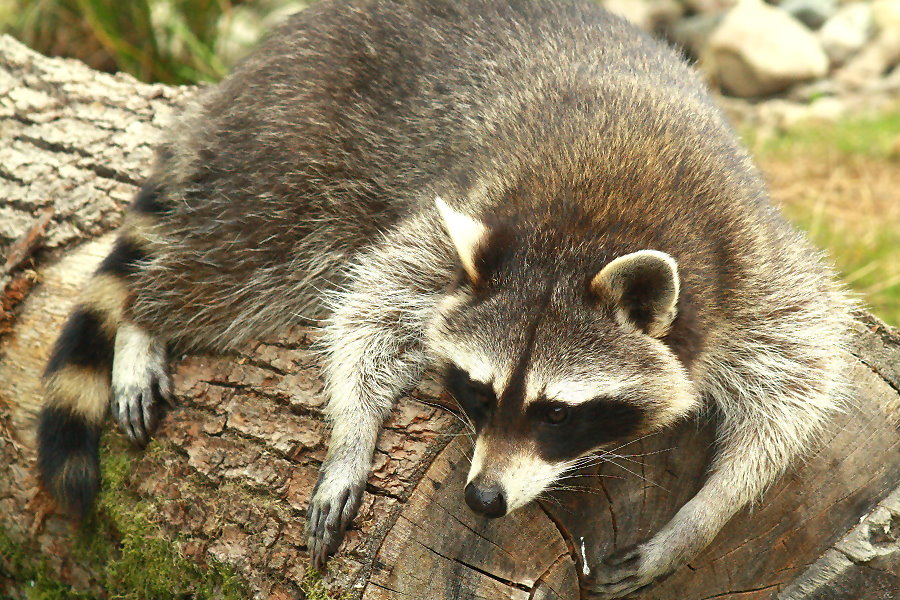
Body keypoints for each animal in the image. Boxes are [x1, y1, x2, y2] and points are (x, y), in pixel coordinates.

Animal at [37, 0, 852, 596]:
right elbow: (372, 304)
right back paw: (147, 317)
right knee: (242, 264)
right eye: (479, 393)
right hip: (297, 146)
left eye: (558, 414)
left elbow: (797, 384)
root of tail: (272, 50)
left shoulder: (747, 262)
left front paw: (705, 514)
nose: (483, 500)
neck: (593, 231)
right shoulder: (464, 212)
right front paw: (353, 432)